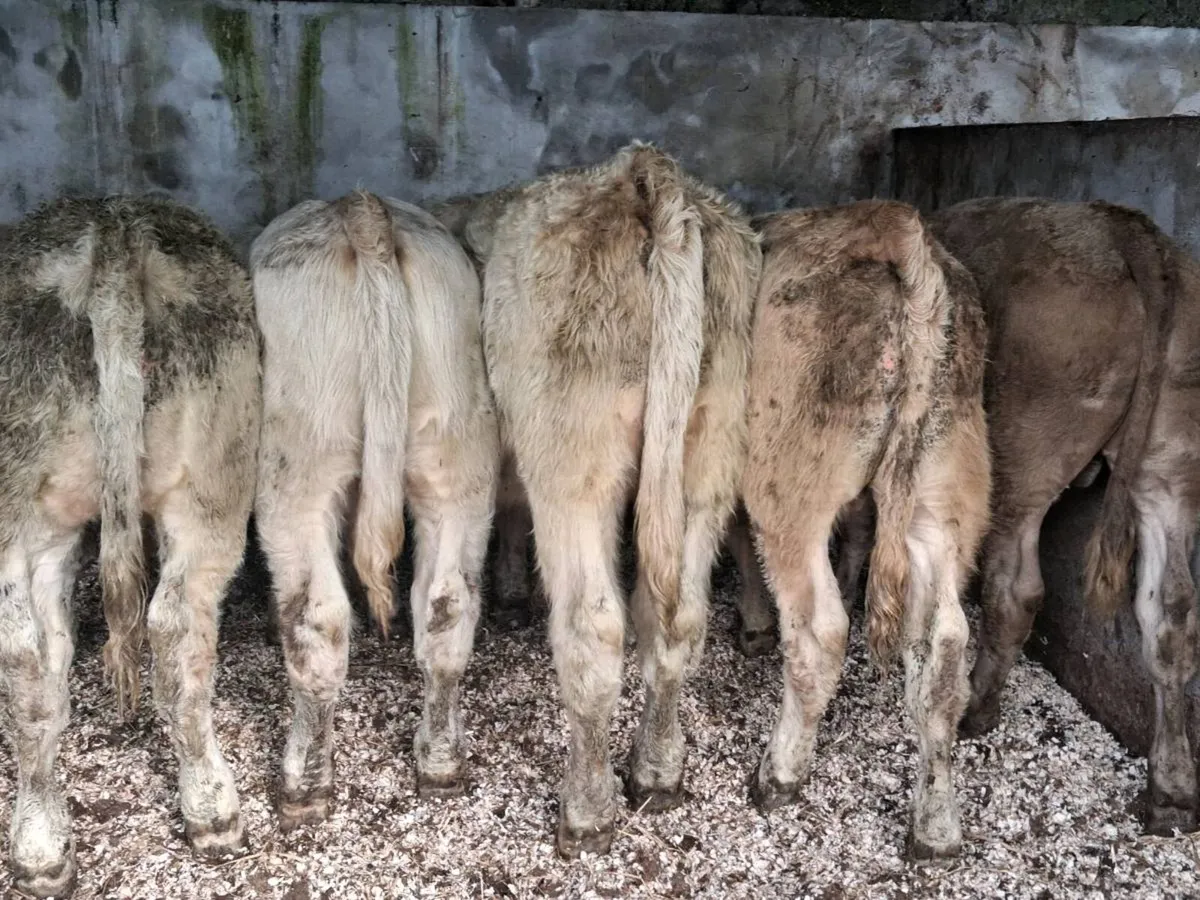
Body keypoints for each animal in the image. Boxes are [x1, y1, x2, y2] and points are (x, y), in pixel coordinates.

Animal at [249, 190, 499, 828]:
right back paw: (440, 762)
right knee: (446, 607)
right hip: (456, 455)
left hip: (299, 463)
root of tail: (361, 210)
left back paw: (305, 781)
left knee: (317, 618)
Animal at [435, 143, 761, 857]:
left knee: (593, 629)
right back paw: (657, 771)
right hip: (707, 448)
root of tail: (643, 174)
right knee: (679, 618)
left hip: (574, 462)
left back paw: (587, 810)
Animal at [741, 200, 991, 860]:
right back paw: (936, 826)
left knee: (820, 631)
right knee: (944, 651)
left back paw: (780, 774)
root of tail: (898, 232)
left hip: (791, 485)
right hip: (944, 490)